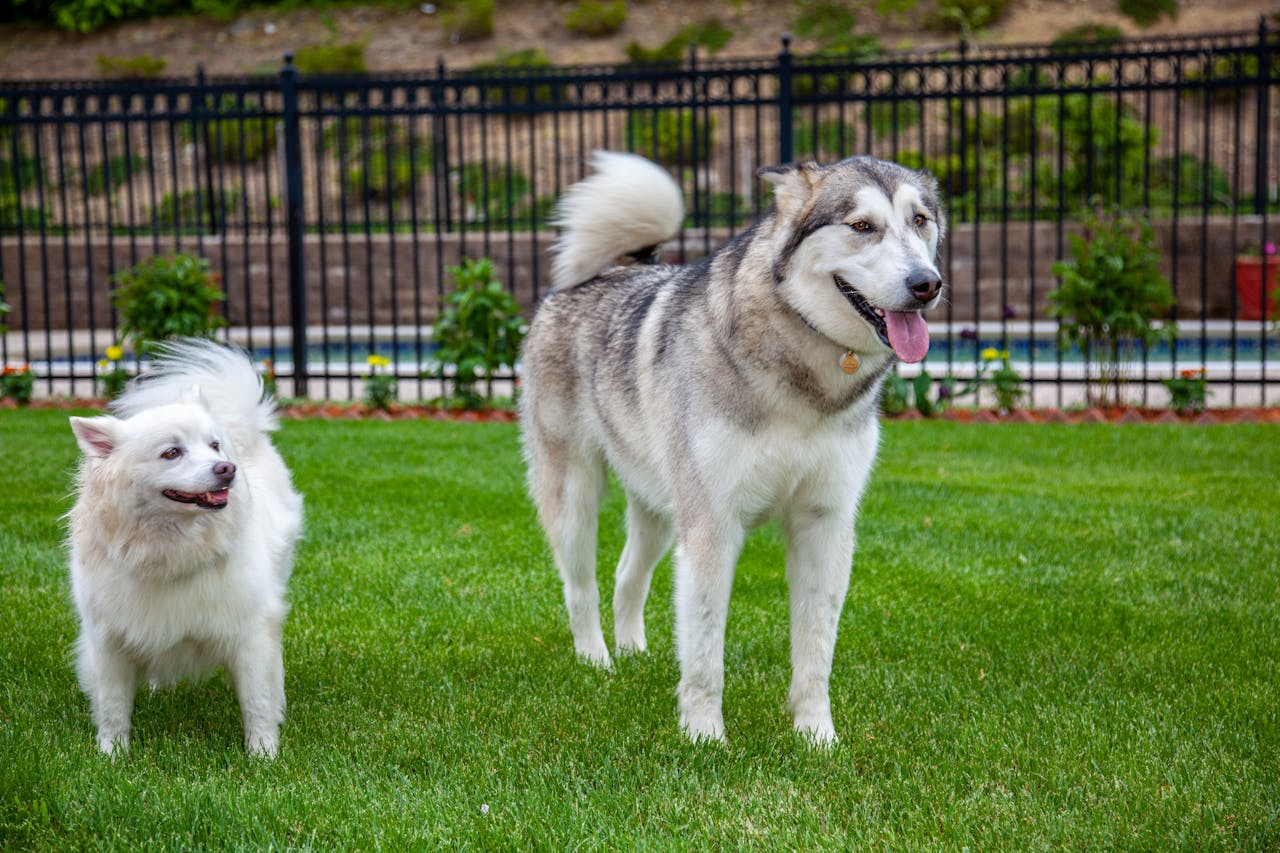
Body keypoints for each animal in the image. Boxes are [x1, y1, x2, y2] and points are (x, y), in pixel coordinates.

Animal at [71, 335, 305, 753]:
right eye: (171, 452)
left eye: (213, 446)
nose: (227, 468)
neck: (171, 551)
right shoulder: (109, 641)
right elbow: (113, 707)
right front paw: (112, 755)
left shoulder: (251, 631)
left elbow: (257, 702)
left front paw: (263, 754)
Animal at [522, 149, 952, 742]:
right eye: (862, 226)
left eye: (920, 220)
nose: (926, 283)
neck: (802, 374)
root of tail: (605, 270)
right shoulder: (712, 525)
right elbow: (705, 649)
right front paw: (704, 735)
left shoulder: (826, 522)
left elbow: (816, 649)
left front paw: (817, 736)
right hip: (576, 495)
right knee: (580, 585)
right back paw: (596, 660)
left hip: (659, 506)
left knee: (627, 574)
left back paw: (632, 653)